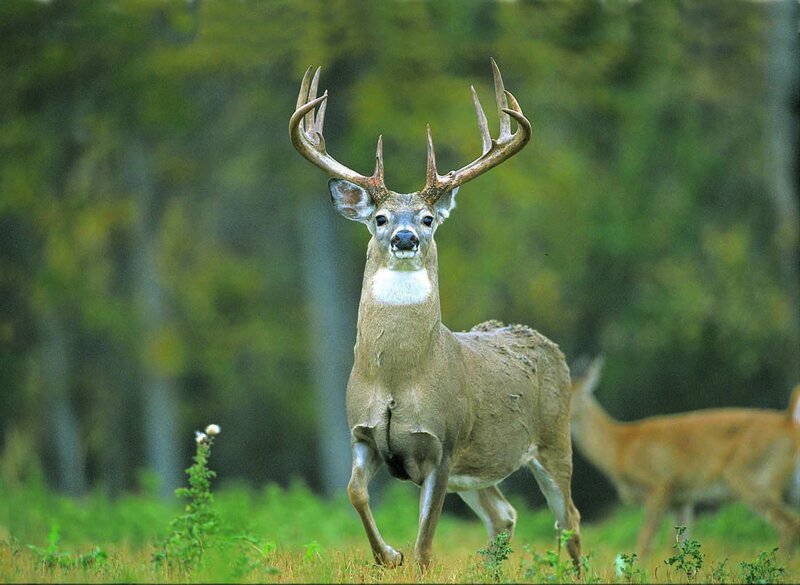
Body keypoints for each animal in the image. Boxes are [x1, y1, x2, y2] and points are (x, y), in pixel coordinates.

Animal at [289, 60, 582, 570]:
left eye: (428, 219)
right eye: (380, 218)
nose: (405, 238)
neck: (397, 379)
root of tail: (547, 344)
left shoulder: (443, 444)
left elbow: (426, 541)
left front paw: (407, 558)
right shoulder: (361, 433)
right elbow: (353, 492)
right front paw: (388, 555)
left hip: (553, 439)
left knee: (571, 521)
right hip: (479, 470)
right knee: (505, 514)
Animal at [571, 356, 800, 557]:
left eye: (570, 392)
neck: (619, 446)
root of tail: (789, 422)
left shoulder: (659, 485)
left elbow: (645, 542)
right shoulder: (681, 498)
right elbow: (679, 544)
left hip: (754, 479)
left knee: (789, 525)